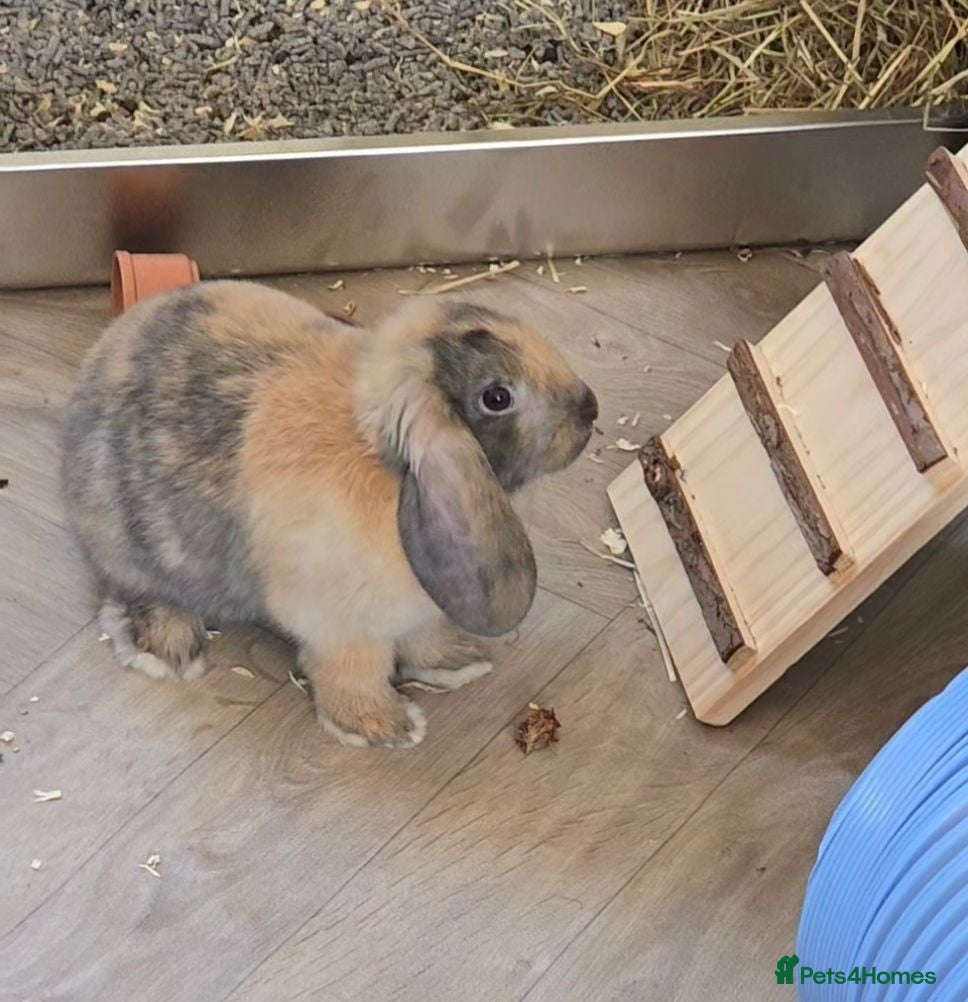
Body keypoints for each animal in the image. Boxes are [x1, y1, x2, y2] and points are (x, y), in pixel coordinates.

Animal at [61, 281, 598, 747]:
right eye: (497, 396)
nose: (589, 409)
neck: (388, 462)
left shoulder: (418, 612)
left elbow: (423, 640)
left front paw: (460, 663)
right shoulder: (344, 629)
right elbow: (353, 674)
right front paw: (387, 728)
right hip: (132, 544)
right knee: (138, 591)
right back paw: (168, 648)